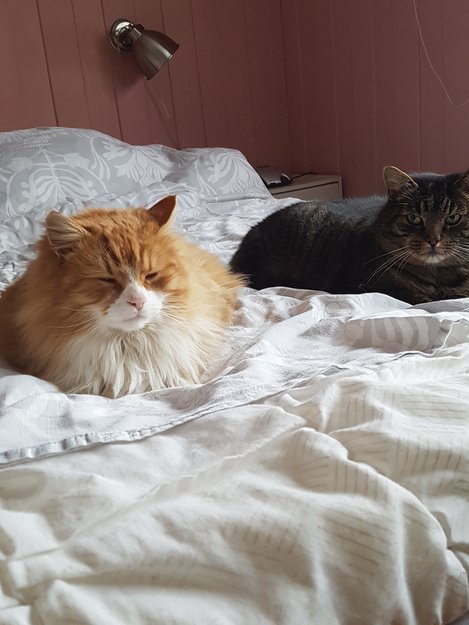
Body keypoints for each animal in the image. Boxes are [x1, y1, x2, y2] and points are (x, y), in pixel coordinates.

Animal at [230, 166, 469, 305]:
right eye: (414, 219)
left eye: (453, 218)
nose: (433, 240)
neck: (440, 276)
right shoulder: (361, 286)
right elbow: (421, 299)